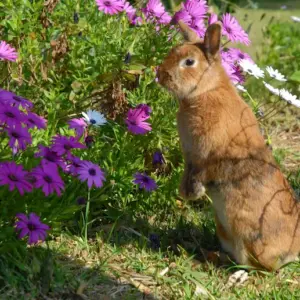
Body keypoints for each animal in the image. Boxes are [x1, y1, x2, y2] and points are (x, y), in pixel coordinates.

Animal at [157, 19, 300, 270]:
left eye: (189, 62)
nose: (160, 75)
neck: (206, 90)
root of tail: (292, 251)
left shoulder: (208, 156)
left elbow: (204, 172)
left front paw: (193, 193)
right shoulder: (190, 158)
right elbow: (188, 173)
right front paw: (186, 192)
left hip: (245, 232)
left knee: (259, 267)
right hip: (224, 229)